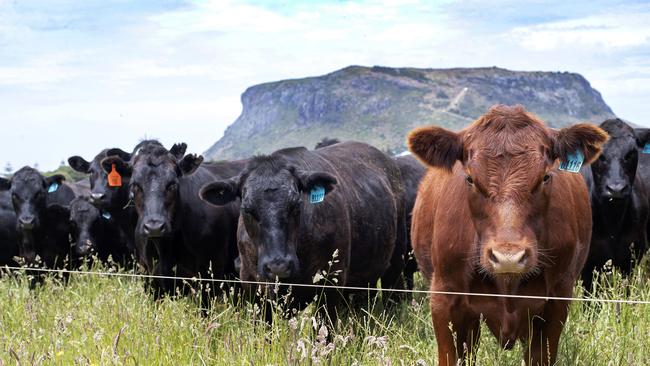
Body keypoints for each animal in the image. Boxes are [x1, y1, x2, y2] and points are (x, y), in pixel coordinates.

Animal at [200, 142, 408, 318]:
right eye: (246, 209)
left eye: (296, 205)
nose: (278, 265)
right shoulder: (252, 285)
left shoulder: (332, 282)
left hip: (395, 266)